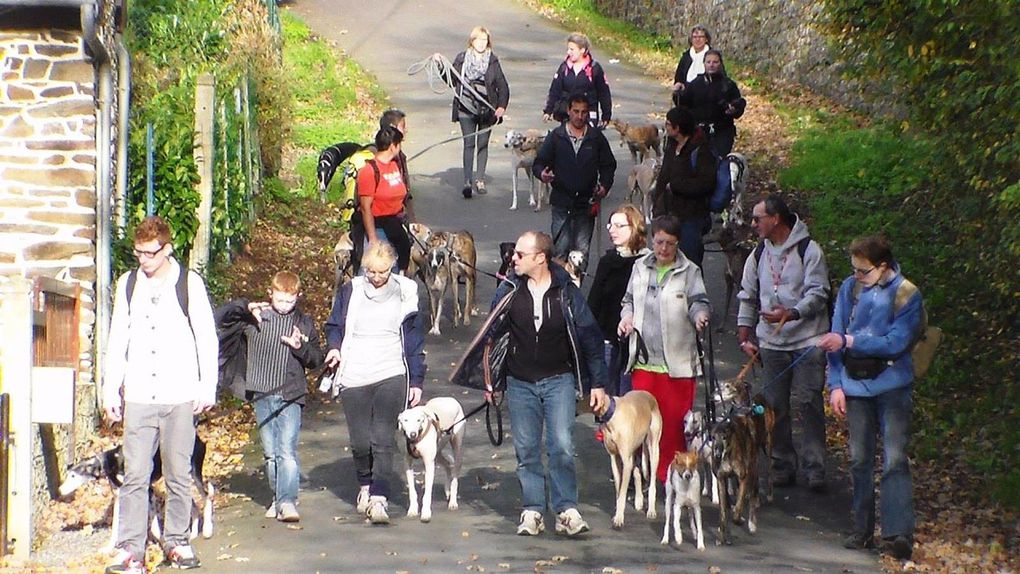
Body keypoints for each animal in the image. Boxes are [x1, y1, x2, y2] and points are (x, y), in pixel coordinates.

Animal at [595, 391, 665, 530]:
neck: (612, 414)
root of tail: (649, 395)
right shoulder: (615, 459)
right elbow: (618, 489)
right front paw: (617, 513)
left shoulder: (626, 462)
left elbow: (622, 493)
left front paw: (619, 519)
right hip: (633, 452)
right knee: (637, 472)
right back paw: (638, 500)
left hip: (653, 448)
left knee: (652, 481)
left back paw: (651, 510)